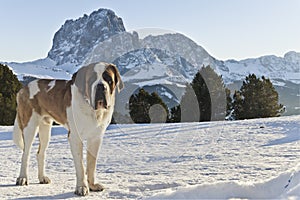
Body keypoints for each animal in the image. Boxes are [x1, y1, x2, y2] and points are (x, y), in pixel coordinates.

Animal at [12, 62, 123, 195]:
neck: (91, 109)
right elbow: (80, 166)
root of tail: (24, 88)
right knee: (26, 153)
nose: (101, 86)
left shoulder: (96, 138)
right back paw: (22, 178)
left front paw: (92, 185)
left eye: (109, 80)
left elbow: (91, 164)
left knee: (40, 153)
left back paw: (42, 178)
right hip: (30, 126)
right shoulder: (75, 137)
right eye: (91, 79)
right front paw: (82, 187)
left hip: (45, 129)